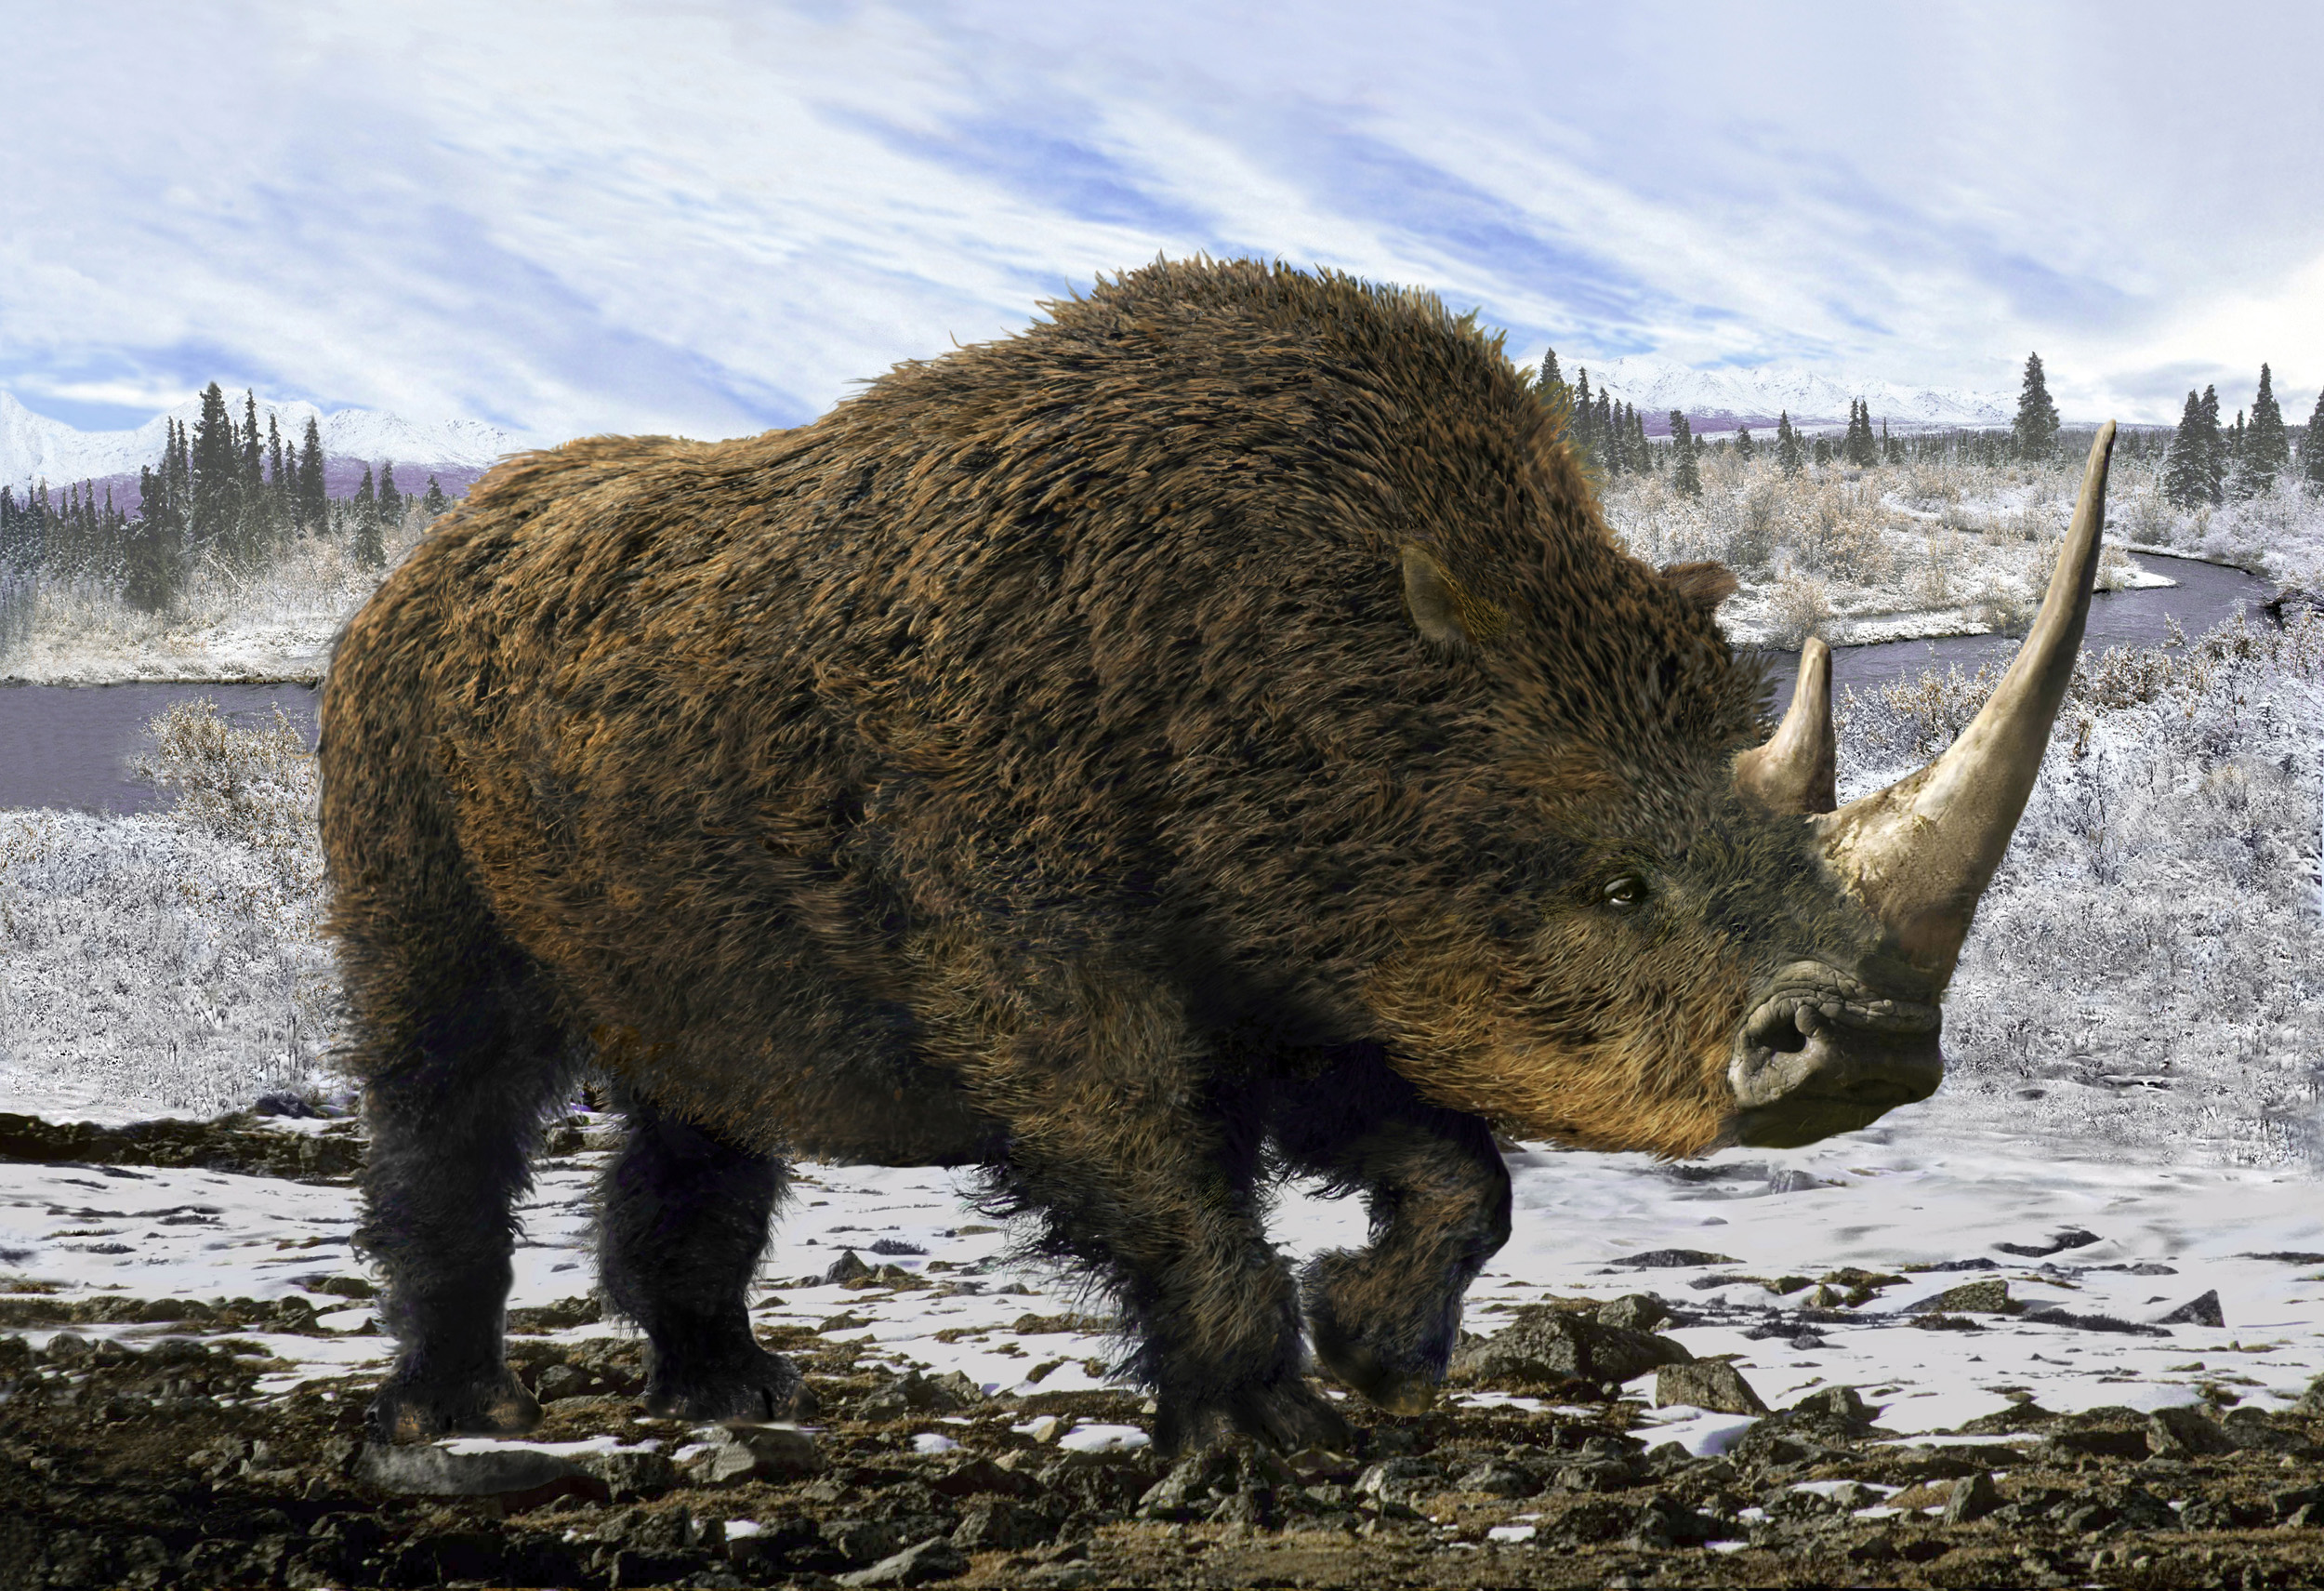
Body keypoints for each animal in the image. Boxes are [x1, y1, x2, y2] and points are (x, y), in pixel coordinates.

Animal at [319, 258, 2115, 1452]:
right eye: (1618, 885)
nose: (1867, 1049)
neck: (1349, 677)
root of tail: (414, 561)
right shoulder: (1038, 947)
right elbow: (1157, 1164)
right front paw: (1266, 1430)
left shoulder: (1322, 949)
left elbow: (1456, 1171)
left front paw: (1381, 1355)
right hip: (393, 746)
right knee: (448, 1064)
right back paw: (450, 1414)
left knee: (704, 1071)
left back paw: (735, 1393)